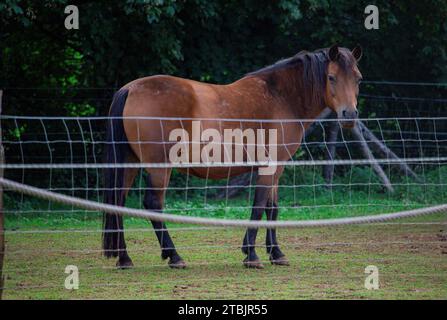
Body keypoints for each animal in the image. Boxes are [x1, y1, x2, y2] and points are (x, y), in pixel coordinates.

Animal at [104, 45, 364, 268]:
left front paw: (276, 253)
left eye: (358, 78)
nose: (349, 115)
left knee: (118, 203)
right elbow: (259, 206)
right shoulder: (270, 167)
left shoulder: (275, 167)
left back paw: (125, 259)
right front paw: (251, 254)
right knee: (153, 204)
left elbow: (272, 208)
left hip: (130, 164)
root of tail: (130, 89)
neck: (280, 97)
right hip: (159, 167)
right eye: (331, 77)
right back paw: (174, 256)